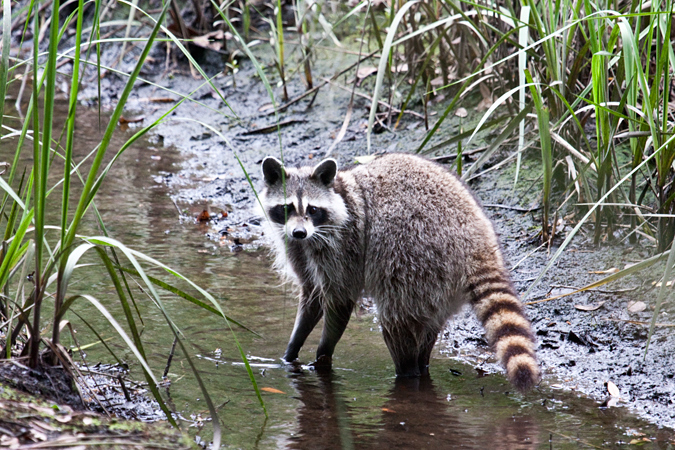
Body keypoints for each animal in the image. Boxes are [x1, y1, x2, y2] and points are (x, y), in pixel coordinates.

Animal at [258, 152, 540, 390]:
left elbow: (340, 298)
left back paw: (406, 370)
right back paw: (422, 363)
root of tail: (478, 241)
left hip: (413, 252)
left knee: (395, 319)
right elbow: (312, 296)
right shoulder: (297, 248)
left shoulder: (343, 245)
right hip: (439, 281)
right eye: (287, 208)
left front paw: (323, 355)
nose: (299, 232)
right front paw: (291, 352)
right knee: (427, 325)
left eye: (312, 209)